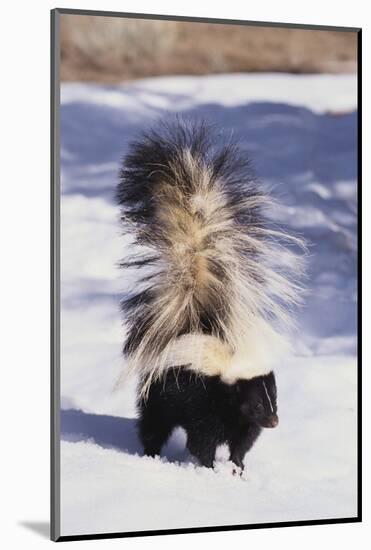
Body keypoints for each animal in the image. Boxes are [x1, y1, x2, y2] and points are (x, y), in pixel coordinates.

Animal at [116, 119, 306, 470]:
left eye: (273, 399)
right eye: (256, 404)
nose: (274, 421)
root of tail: (191, 326)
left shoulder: (238, 422)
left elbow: (241, 443)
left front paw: (238, 467)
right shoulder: (204, 404)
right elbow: (202, 440)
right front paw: (207, 467)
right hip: (159, 392)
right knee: (153, 424)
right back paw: (150, 454)